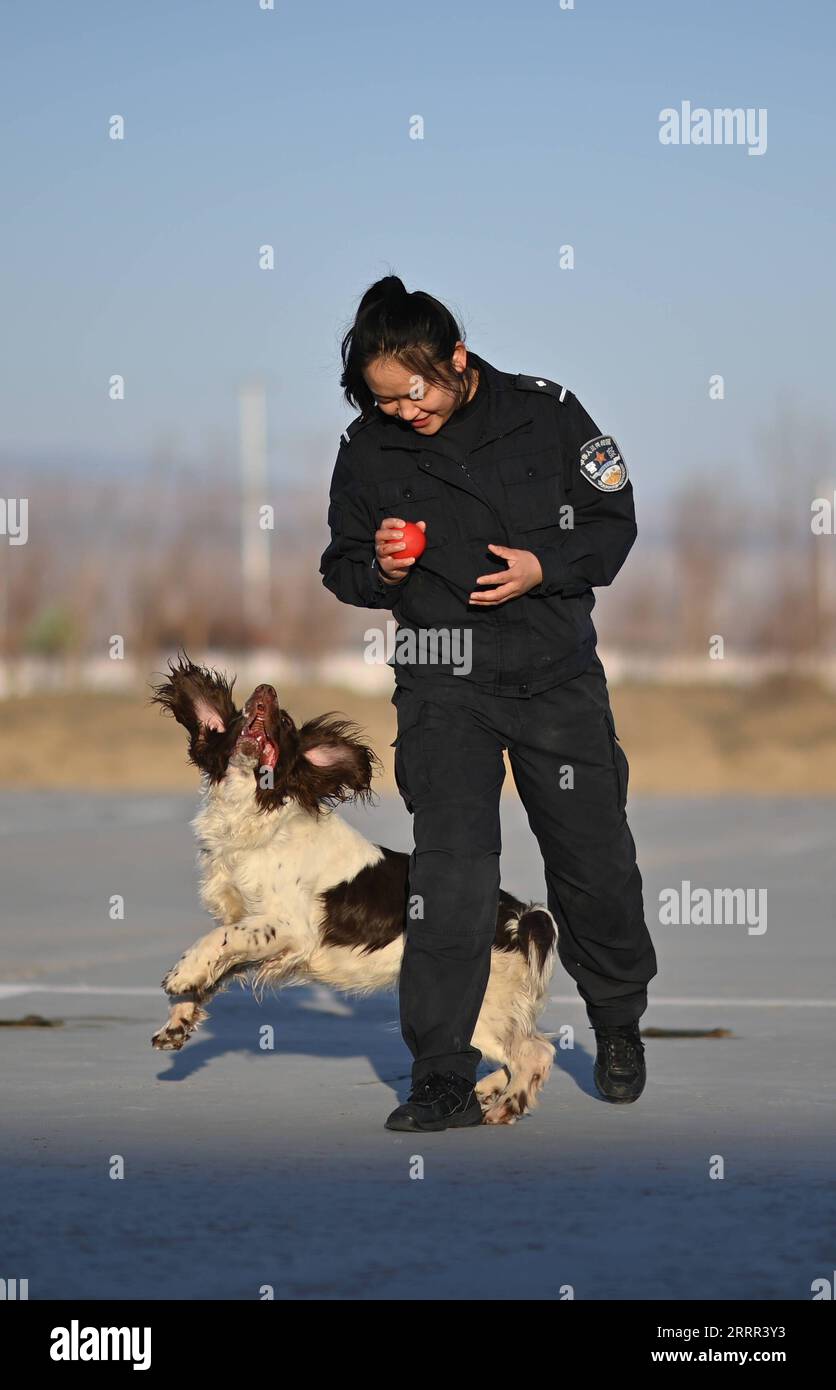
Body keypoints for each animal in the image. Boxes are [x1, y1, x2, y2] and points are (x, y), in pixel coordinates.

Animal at [148, 656, 556, 1123]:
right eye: (237, 719)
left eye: (284, 723)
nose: (267, 689)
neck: (255, 815)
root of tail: (523, 918)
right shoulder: (253, 932)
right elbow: (216, 963)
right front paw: (178, 1020)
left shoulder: (287, 928)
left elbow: (216, 938)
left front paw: (180, 976)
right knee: (517, 1054)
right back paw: (486, 1092)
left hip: (484, 1009)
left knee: (535, 1053)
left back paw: (505, 1105)